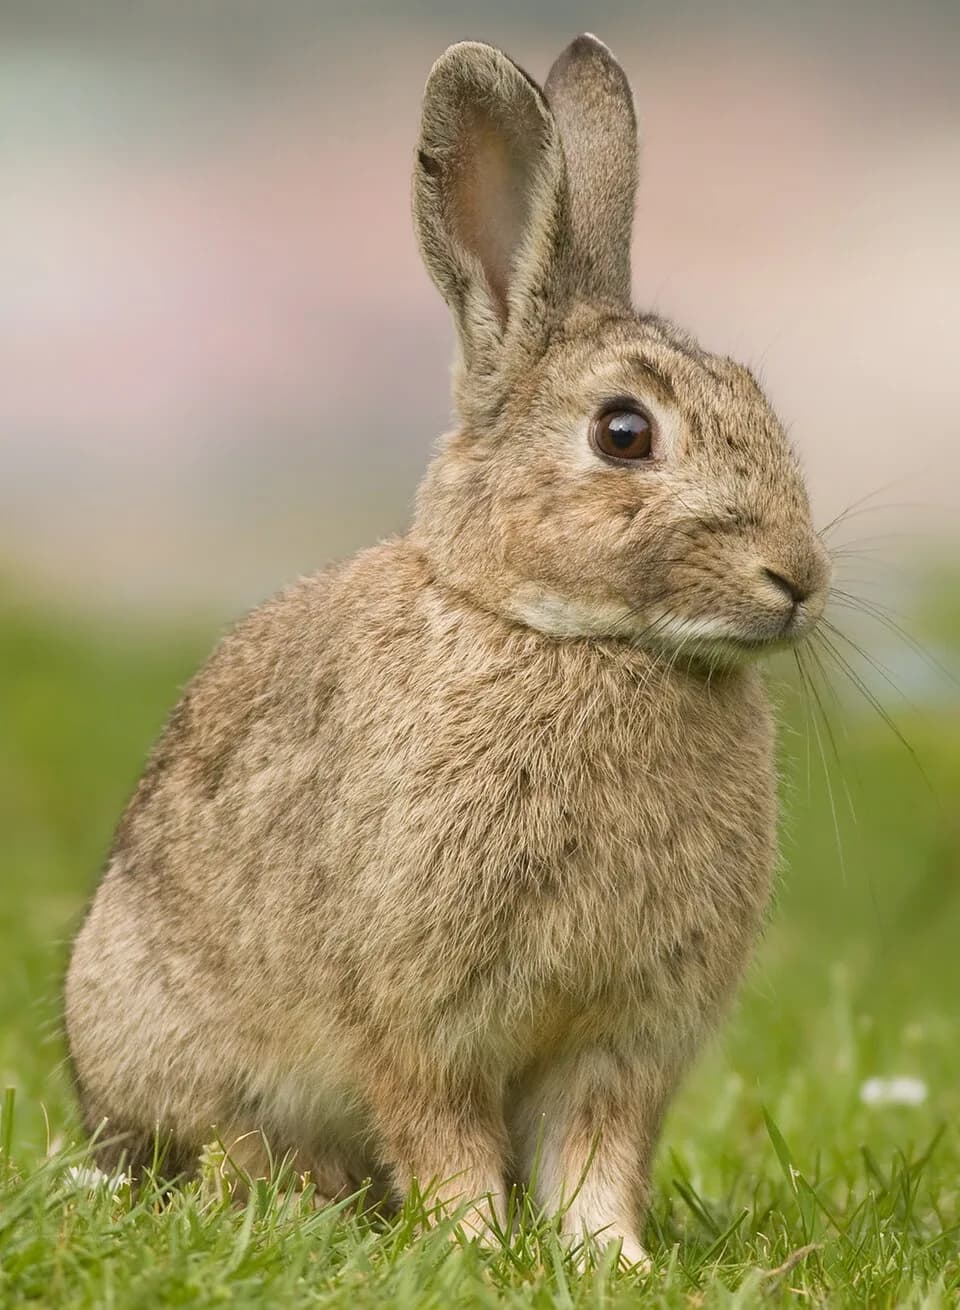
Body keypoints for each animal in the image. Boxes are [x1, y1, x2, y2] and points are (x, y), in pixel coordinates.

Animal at [65, 34, 830, 1266]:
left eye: (756, 395)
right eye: (625, 432)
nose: (798, 580)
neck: (571, 637)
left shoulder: (624, 1038)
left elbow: (597, 1152)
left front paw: (609, 1259)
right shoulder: (421, 1016)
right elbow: (442, 1133)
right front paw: (472, 1244)